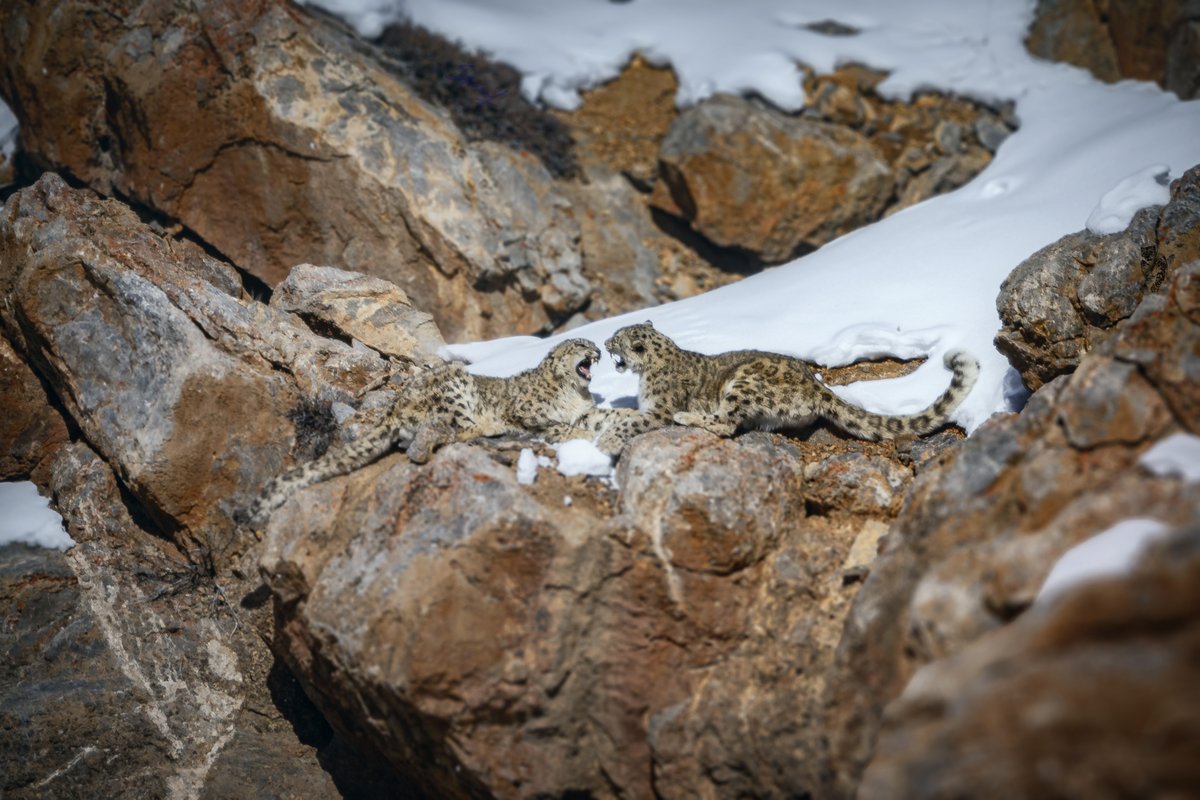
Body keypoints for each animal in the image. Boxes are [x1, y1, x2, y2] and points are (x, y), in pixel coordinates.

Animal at [604, 319, 979, 441]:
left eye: (618, 338)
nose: (606, 342)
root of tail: (817, 385)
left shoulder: (658, 410)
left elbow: (633, 421)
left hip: (743, 382)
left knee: (725, 423)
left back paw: (689, 416)